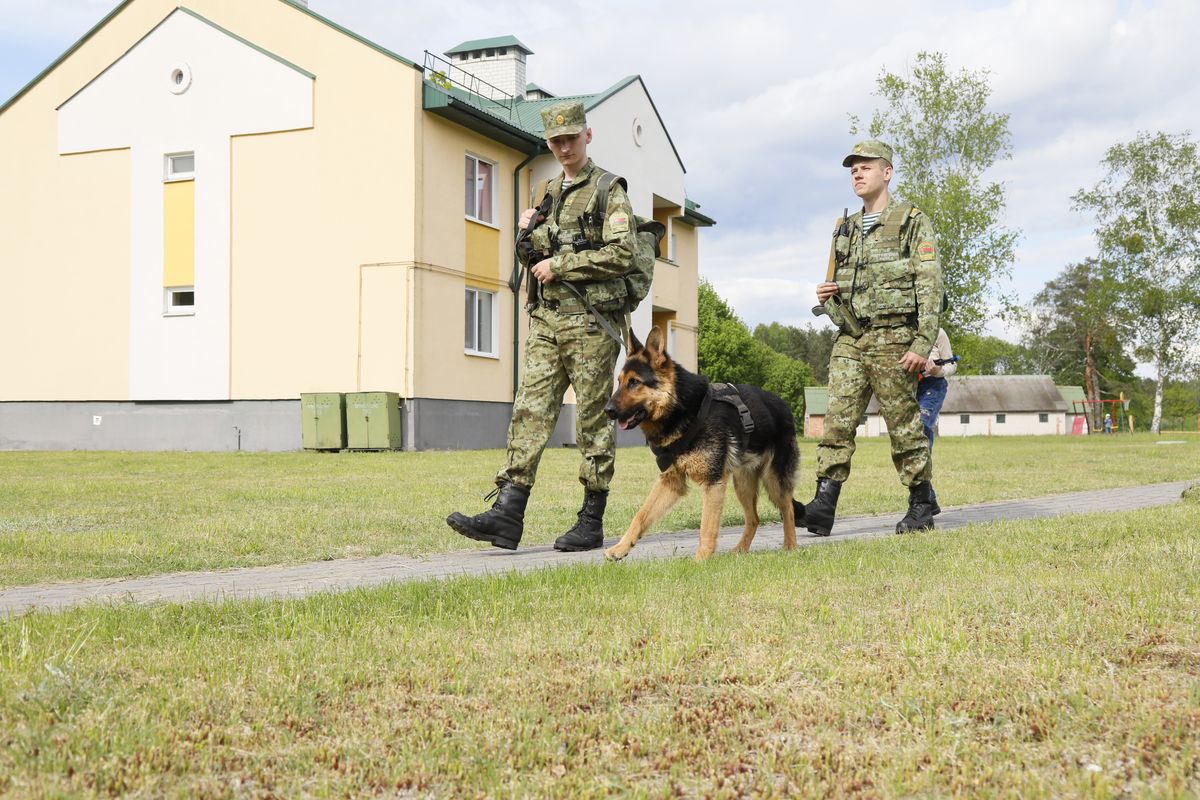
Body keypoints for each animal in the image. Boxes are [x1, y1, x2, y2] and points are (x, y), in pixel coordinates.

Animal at [600, 326, 796, 563]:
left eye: (634, 382)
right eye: (619, 381)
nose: (607, 410)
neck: (682, 408)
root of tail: (783, 405)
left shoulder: (713, 483)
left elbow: (707, 526)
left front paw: (701, 560)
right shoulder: (670, 481)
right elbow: (641, 515)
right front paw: (620, 548)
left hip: (774, 479)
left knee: (788, 509)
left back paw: (790, 547)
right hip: (743, 484)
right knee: (754, 518)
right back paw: (740, 550)